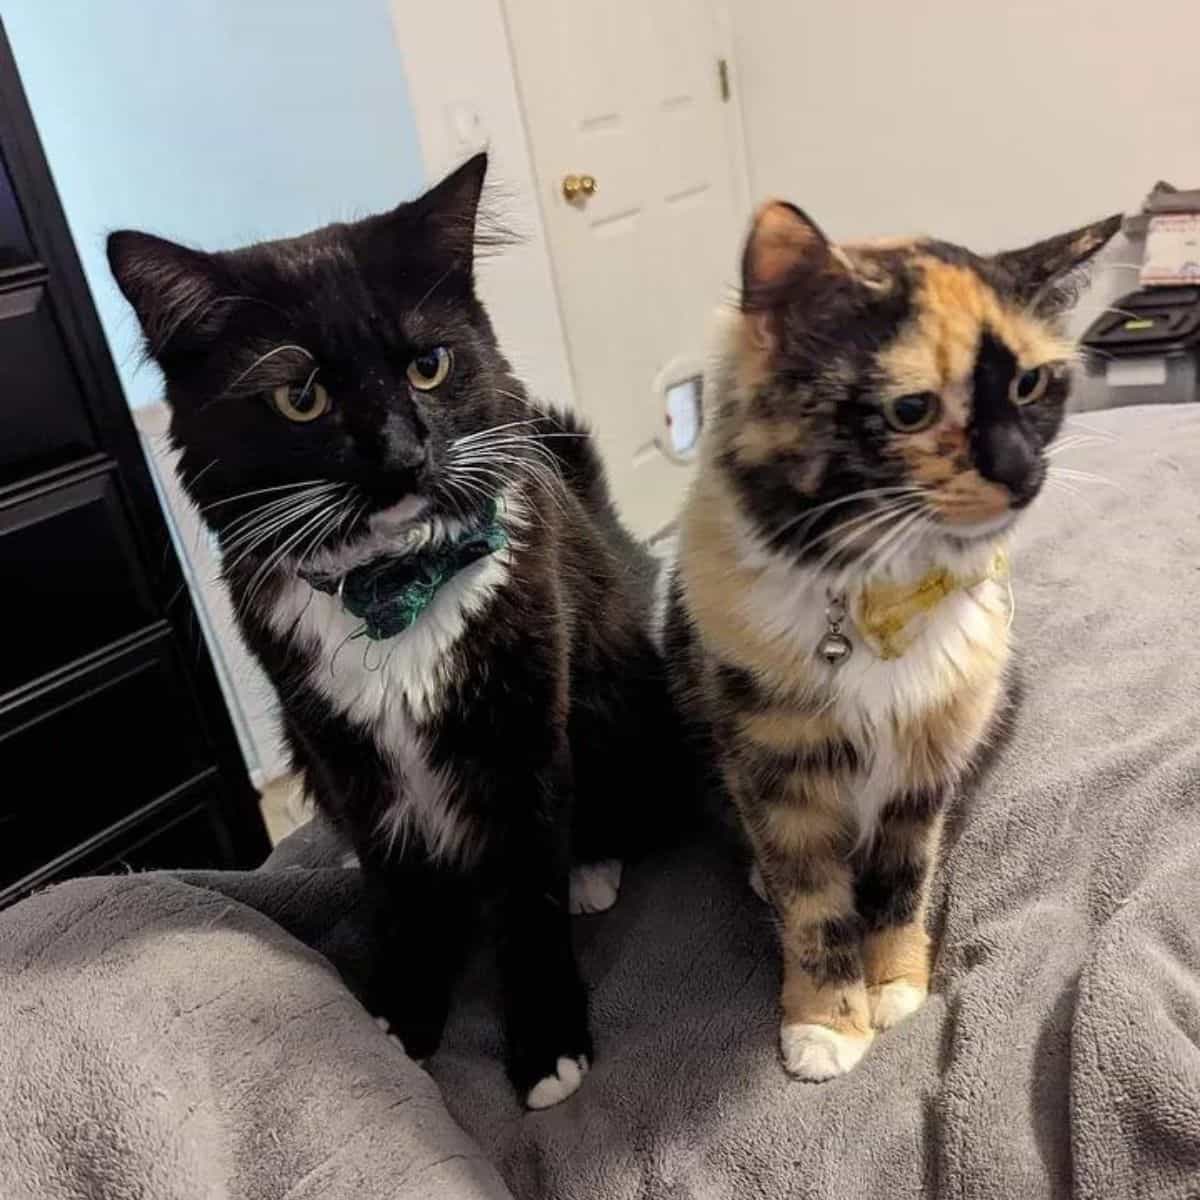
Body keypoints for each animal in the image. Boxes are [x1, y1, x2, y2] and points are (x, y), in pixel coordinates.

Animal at [112, 154, 686, 1108]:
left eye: (428, 366)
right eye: (300, 396)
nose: (402, 456)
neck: (390, 585)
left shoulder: (520, 726)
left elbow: (527, 894)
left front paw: (547, 1047)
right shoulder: (340, 745)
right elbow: (402, 892)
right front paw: (402, 1014)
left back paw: (593, 871)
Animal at [672, 196, 1118, 1080]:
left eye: (1031, 382)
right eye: (912, 409)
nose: (1024, 474)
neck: (879, 593)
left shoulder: (929, 760)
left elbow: (903, 879)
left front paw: (896, 985)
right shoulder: (774, 765)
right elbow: (811, 899)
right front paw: (825, 1023)